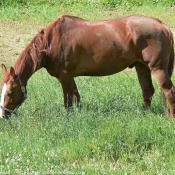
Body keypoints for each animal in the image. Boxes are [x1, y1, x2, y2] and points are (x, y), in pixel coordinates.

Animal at [0, 15, 175, 119]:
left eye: (10, 92)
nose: (3, 115)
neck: (51, 42)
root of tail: (162, 25)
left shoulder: (66, 76)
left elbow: (70, 101)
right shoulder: (68, 78)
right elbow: (74, 99)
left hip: (157, 68)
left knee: (169, 92)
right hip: (141, 67)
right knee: (147, 91)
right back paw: (143, 115)